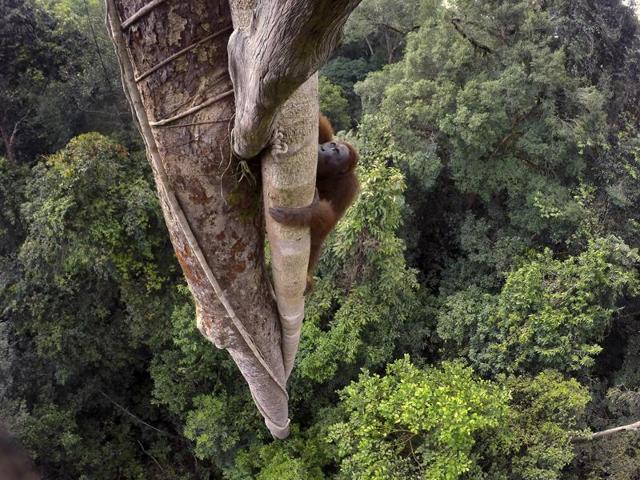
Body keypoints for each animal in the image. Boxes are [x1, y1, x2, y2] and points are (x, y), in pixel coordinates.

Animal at [269, 114, 359, 294]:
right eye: (332, 145)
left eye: (335, 152)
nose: (324, 149)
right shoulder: (323, 137)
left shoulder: (348, 187)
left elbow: (329, 221)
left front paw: (299, 214)